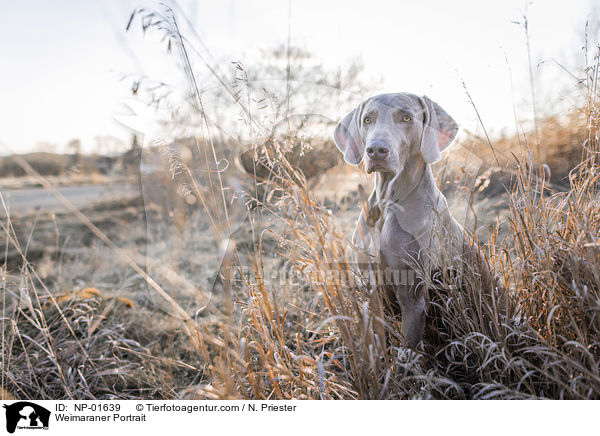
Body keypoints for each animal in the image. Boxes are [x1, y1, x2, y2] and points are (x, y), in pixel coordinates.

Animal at [336, 92, 466, 348]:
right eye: (367, 120)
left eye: (406, 117)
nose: (376, 150)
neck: (387, 205)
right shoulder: (370, 290)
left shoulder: (412, 297)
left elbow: (408, 350)